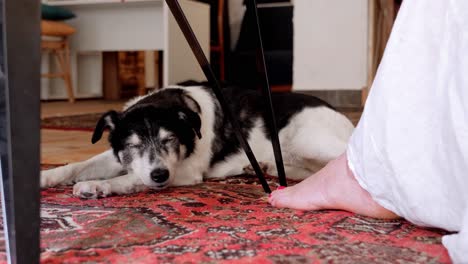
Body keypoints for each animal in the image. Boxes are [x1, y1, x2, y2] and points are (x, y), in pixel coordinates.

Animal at [41, 85, 354, 199]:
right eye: (133, 145)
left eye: (170, 139)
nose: (160, 174)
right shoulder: (119, 155)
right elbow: (78, 165)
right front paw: (47, 177)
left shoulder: (185, 171)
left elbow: (131, 178)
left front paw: (98, 186)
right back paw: (261, 168)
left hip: (305, 138)